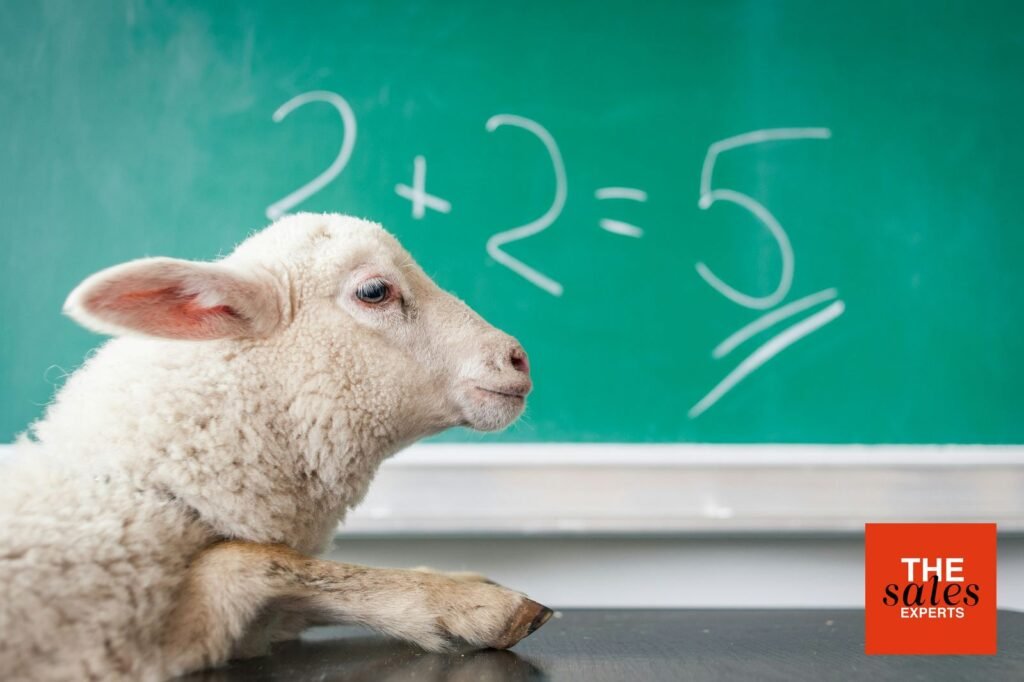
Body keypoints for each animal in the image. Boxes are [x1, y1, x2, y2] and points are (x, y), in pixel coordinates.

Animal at [0, 213, 551, 681]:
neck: (145, 489)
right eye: (375, 291)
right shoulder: (130, 648)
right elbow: (249, 559)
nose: (518, 358)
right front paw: (474, 603)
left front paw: (458, 584)